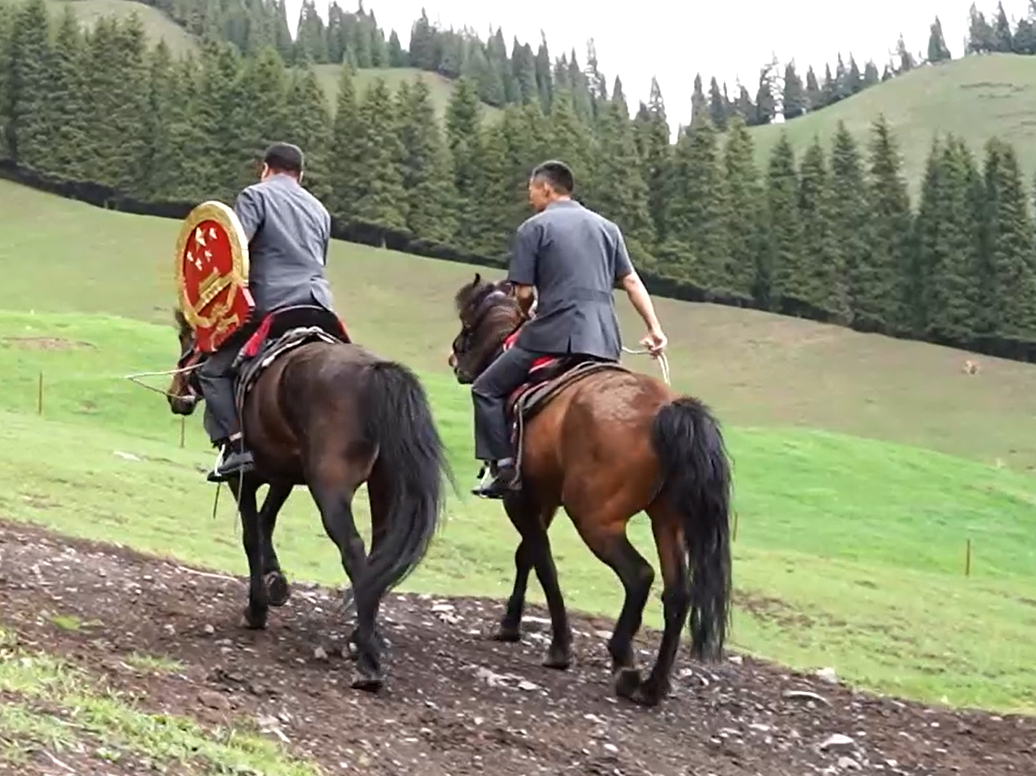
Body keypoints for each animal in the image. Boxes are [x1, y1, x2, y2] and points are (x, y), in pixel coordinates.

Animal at [165, 306, 449, 687]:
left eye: (185, 338)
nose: (176, 396)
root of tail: (375, 373)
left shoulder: (244, 480)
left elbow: (251, 534)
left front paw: (256, 608)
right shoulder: (283, 475)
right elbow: (266, 522)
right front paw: (276, 583)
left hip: (329, 489)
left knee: (353, 550)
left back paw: (368, 661)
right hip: (385, 488)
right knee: (377, 556)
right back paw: (363, 638)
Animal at [449, 275, 733, 704]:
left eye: (468, 321)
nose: (455, 361)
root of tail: (666, 409)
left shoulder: (519, 498)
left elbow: (542, 562)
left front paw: (559, 647)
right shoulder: (543, 499)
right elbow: (526, 555)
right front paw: (511, 624)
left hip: (595, 520)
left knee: (639, 576)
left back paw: (625, 662)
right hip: (667, 521)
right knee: (677, 593)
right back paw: (653, 686)